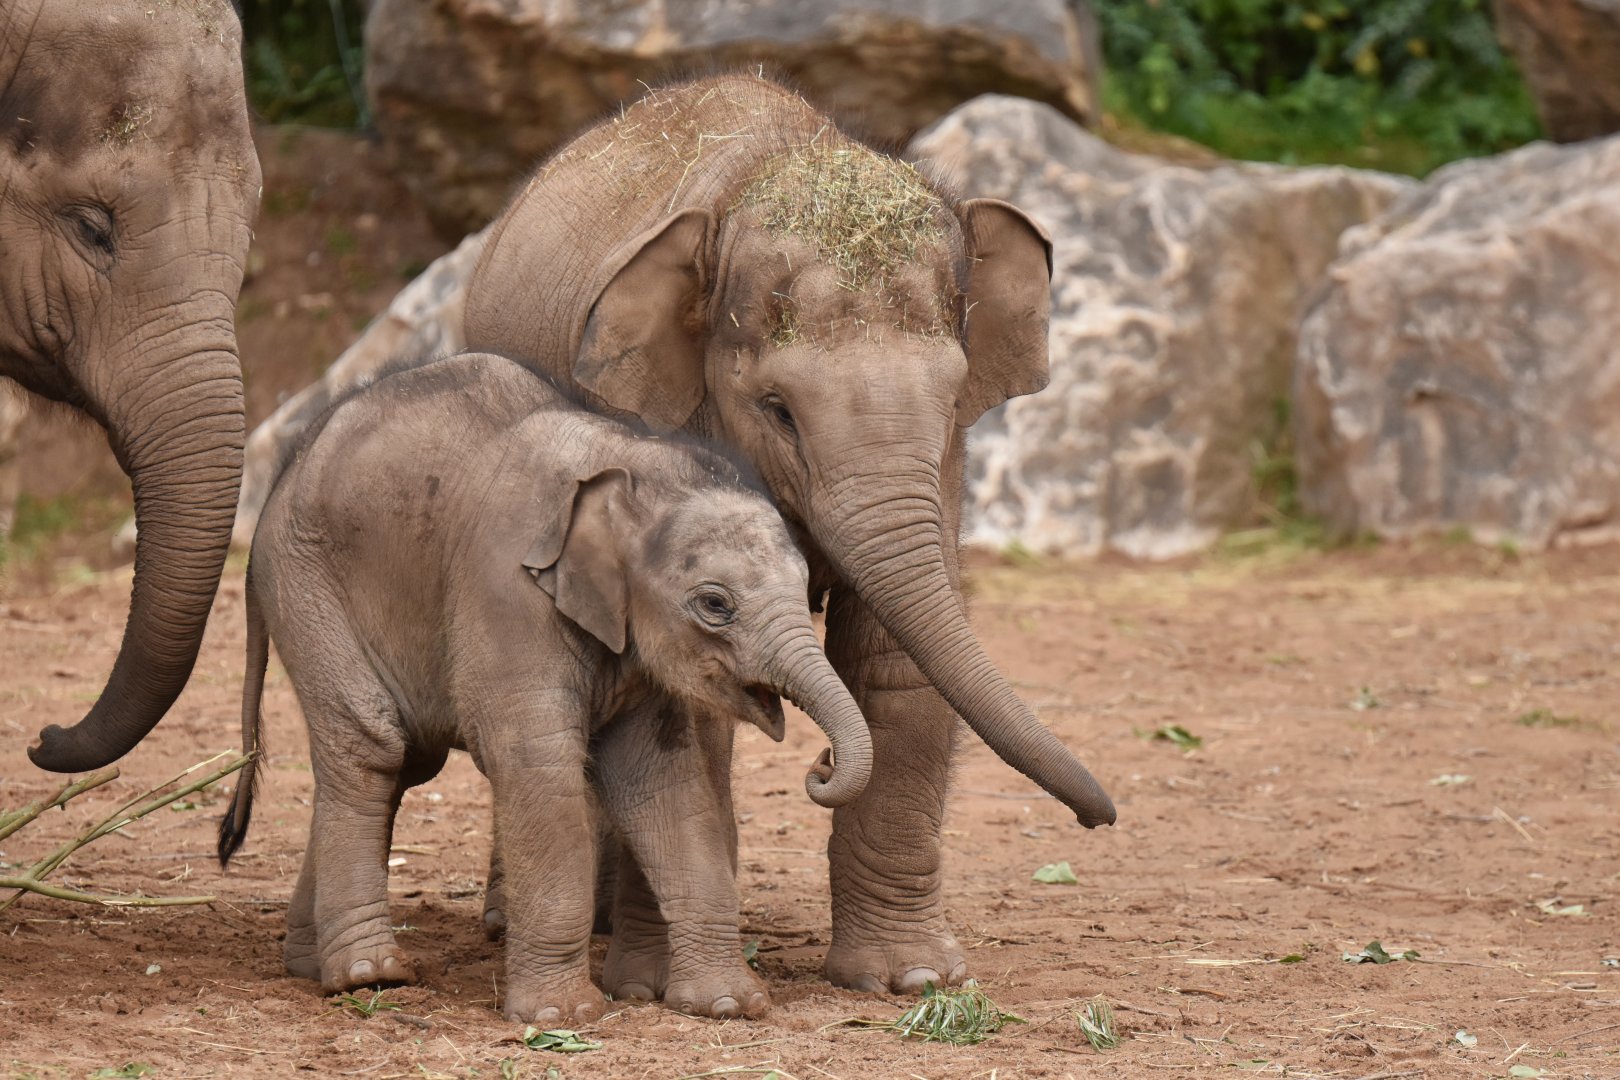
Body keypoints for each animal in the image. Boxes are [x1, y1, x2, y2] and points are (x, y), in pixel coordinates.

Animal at [217, 351, 874, 1022]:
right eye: (715, 604)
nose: (821, 764)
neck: (627, 462)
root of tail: (280, 479)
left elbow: (659, 776)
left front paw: (728, 1005)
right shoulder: (504, 591)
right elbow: (538, 761)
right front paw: (565, 1016)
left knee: (403, 762)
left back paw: (310, 966)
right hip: (307, 590)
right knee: (372, 745)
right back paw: (370, 978)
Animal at [460, 73, 1117, 994]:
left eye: (954, 399)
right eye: (777, 410)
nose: (1102, 821)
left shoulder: (942, 472)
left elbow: (896, 659)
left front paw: (911, 980)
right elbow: (690, 690)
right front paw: (657, 987)